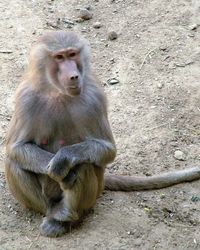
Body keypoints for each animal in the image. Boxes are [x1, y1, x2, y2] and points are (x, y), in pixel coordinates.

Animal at [4, 31, 200, 238]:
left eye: (72, 54)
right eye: (59, 57)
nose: (73, 76)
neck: (59, 93)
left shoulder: (94, 96)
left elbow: (107, 150)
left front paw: (62, 160)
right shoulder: (26, 98)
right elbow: (16, 148)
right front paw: (60, 169)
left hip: (93, 195)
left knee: (82, 164)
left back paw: (66, 216)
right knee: (14, 163)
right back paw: (54, 213)